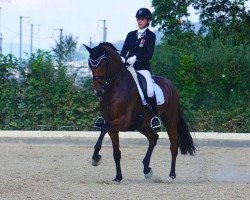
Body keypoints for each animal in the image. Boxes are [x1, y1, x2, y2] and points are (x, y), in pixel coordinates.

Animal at [84, 42, 195, 183]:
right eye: (90, 64)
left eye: (103, 63)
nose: (97, 91)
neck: (114, 89)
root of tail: (171, 85)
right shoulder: (113, 126)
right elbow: (116, 152)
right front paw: (118, 177)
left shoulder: (123, 121)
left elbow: (104, 128)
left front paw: (95, 157)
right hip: (142, 124)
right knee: (153, 138)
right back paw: (147, 169)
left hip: (170, 119)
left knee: (173, 145)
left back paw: (172, 174)